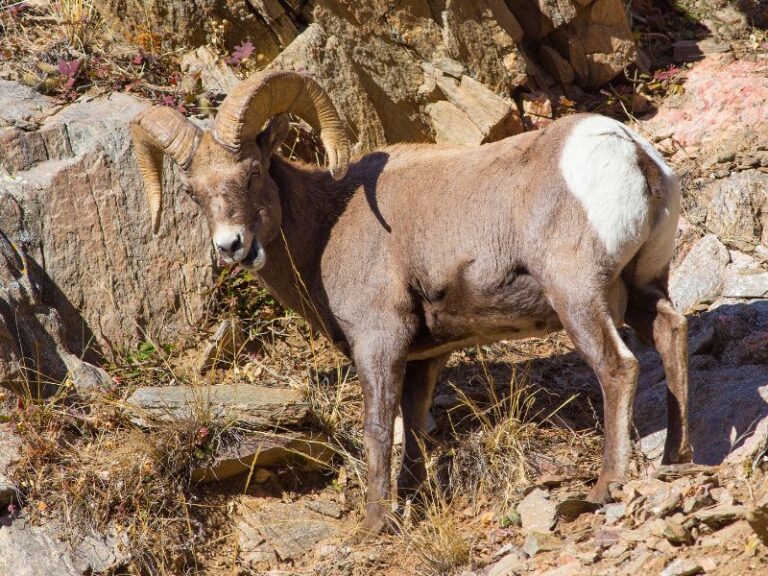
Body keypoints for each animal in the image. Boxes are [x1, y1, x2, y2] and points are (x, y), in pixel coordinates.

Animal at [132, 72, 696, 540]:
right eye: (193, 192)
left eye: (252, 172)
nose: (232, 246)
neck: (327, 226)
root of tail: (628, 150)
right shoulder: (426, 355)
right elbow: (416, 427)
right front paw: (413, 502)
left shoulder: (380, 343)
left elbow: (380, 428)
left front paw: (374, 524)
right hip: (641, 287)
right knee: (670, 334)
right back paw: (677, 459)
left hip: (578, 296)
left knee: (617, 368)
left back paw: (605, 487)